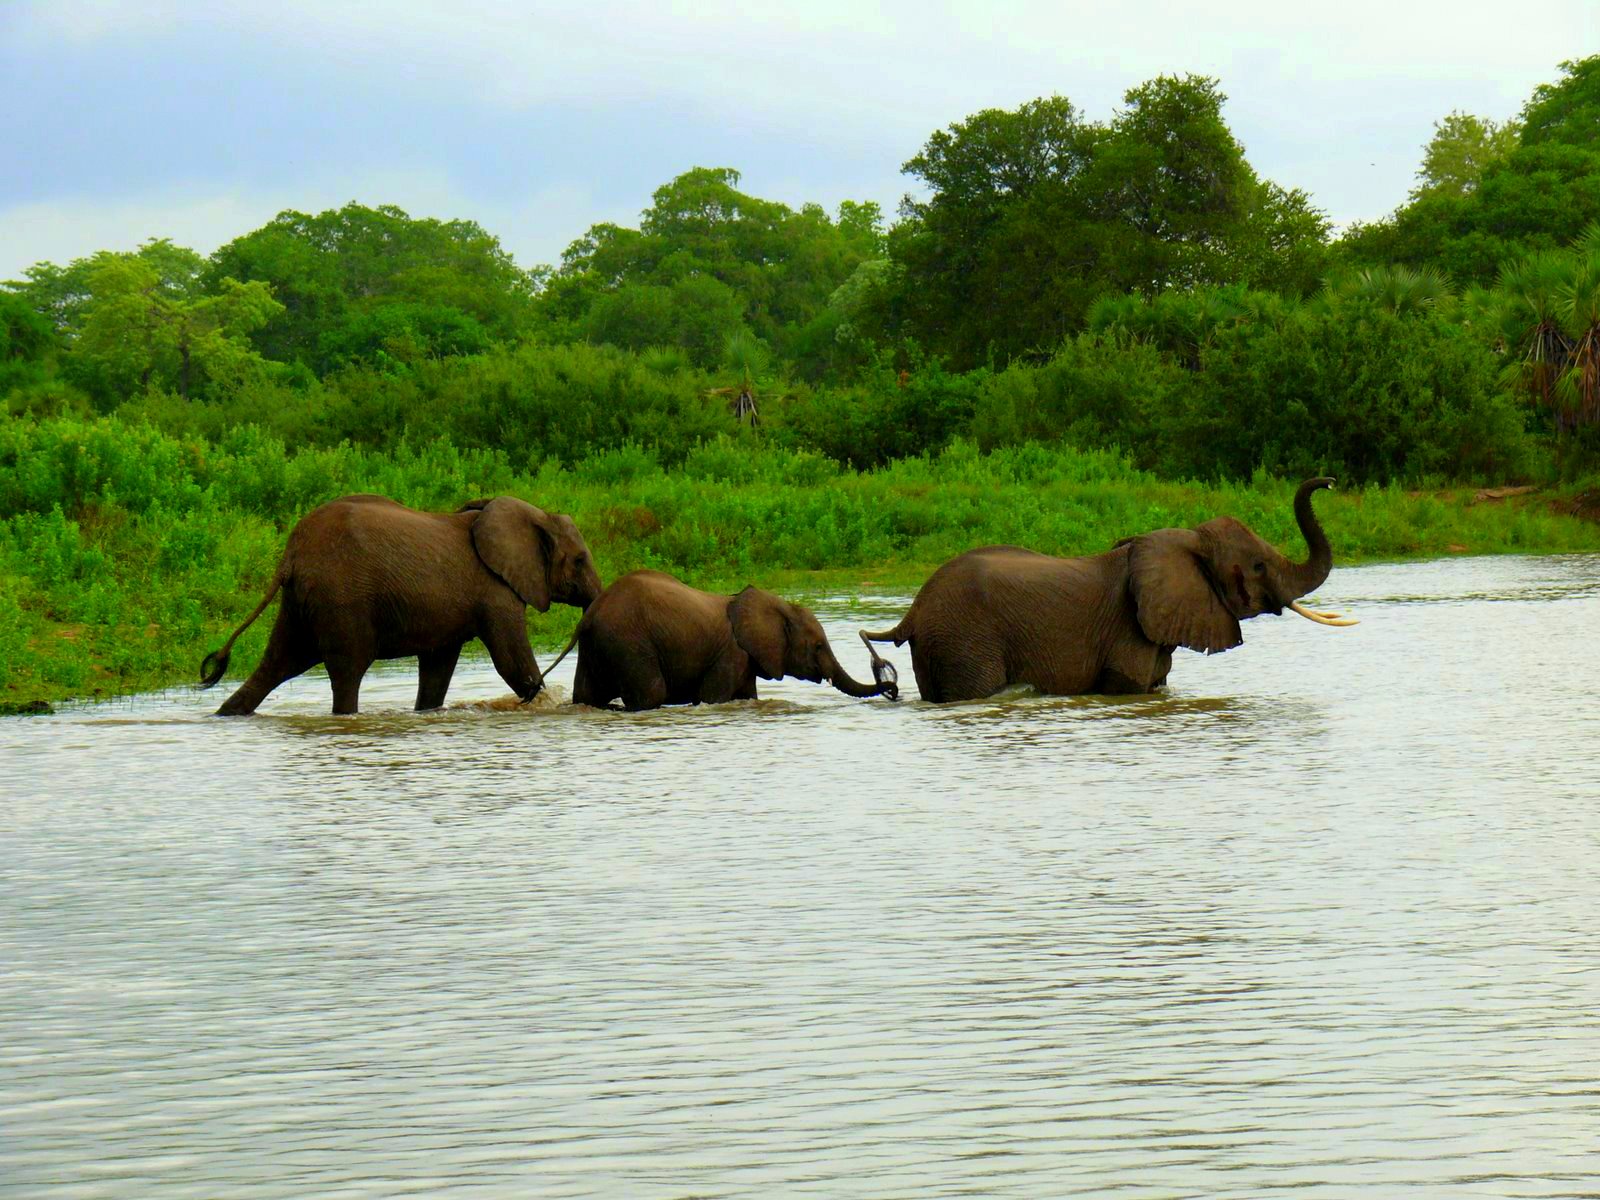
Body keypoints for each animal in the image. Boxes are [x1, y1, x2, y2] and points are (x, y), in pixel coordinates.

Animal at [199, 494, 602, 715]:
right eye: (580, 560)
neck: (536, 516)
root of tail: (291, 553)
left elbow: (438, 670)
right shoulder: (496, 590)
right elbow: (511, 662)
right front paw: (540, 700)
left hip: (302, 602)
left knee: (276, 665)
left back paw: (227, 714)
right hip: (343, 600)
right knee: (346, 672)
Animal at [543, 569, 899, 711]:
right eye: (818, 646)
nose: (893, 688)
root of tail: (589, 615)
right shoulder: (732, 654)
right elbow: (713, 698)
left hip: (598, 647)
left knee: (586, 696)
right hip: (628, 642)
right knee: (650, 695)